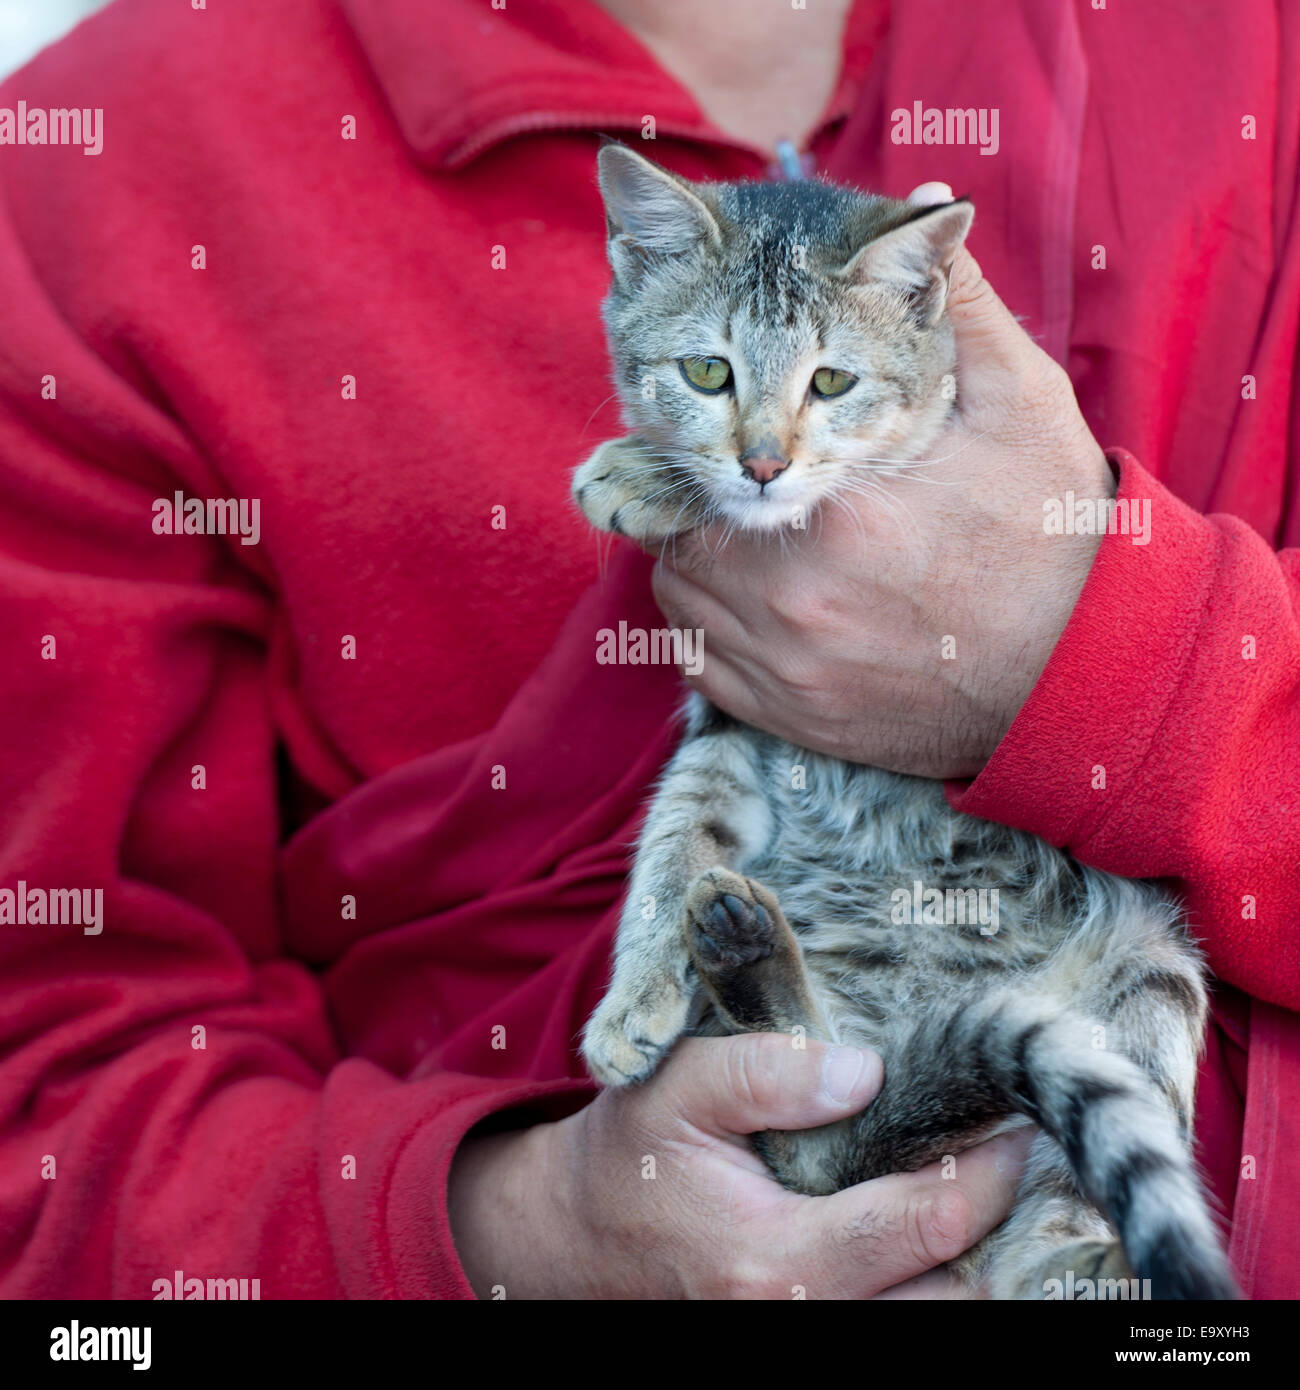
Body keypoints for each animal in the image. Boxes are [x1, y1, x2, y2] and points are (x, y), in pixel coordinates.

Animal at [572, 143, 1240, 1301]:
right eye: (708, 373)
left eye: (831, 382)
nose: (762, 463)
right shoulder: (730, 734)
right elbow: (678, 836)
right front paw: (641, 986)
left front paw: (652, 479)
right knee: (816, 1136)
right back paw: (748, 959)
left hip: (1152, 961)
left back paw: (1082, 1256)